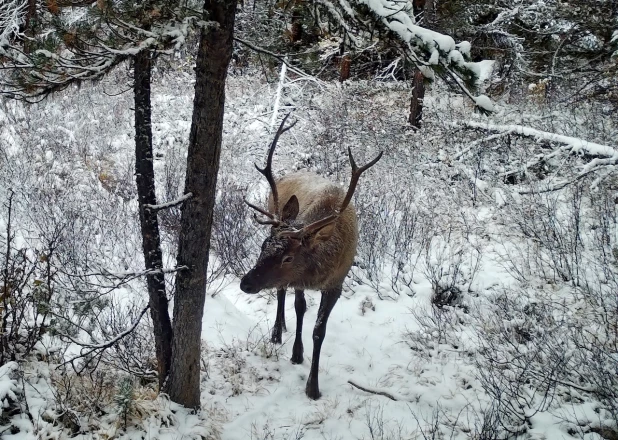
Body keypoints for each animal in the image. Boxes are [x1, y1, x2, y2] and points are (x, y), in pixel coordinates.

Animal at [239, 114, 380, 402]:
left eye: (288, 258)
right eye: (263, 246)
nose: (245, 283)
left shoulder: (336, 283)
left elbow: (319, 331)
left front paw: (312, 386)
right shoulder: (300, 281)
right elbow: (299, 308)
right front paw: (297, 354)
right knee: (280, 291)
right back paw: (277, 331)